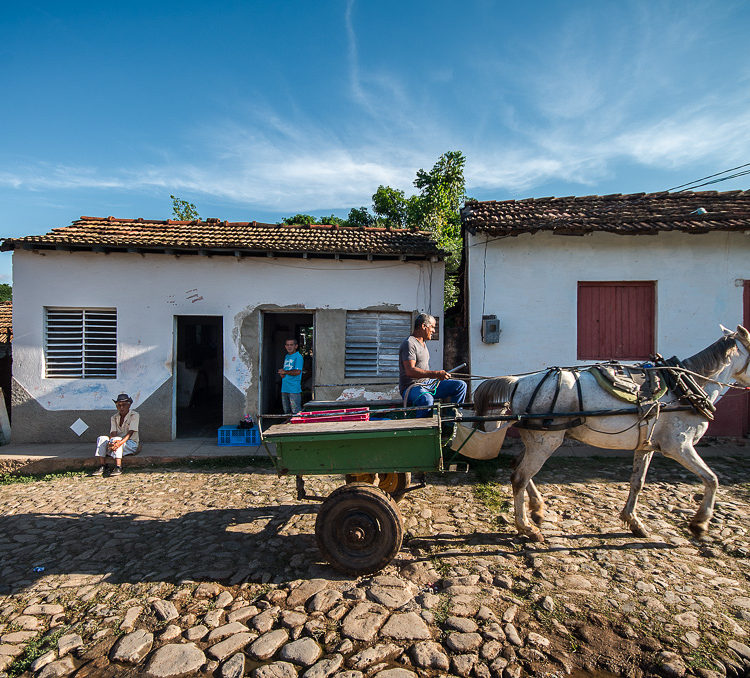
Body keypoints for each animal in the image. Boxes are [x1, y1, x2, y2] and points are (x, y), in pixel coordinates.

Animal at [476, 326, 750, 544]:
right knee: (520, 477)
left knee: (517, 466)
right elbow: (712, 479)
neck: (684, 386)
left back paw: (537, 510)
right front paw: (700, 524)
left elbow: (637, 482)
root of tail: (518, 382)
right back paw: (527, 528)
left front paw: (634, 521)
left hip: (539, 437)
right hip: (545, 441)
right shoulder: (678, 446)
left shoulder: (646, 445)